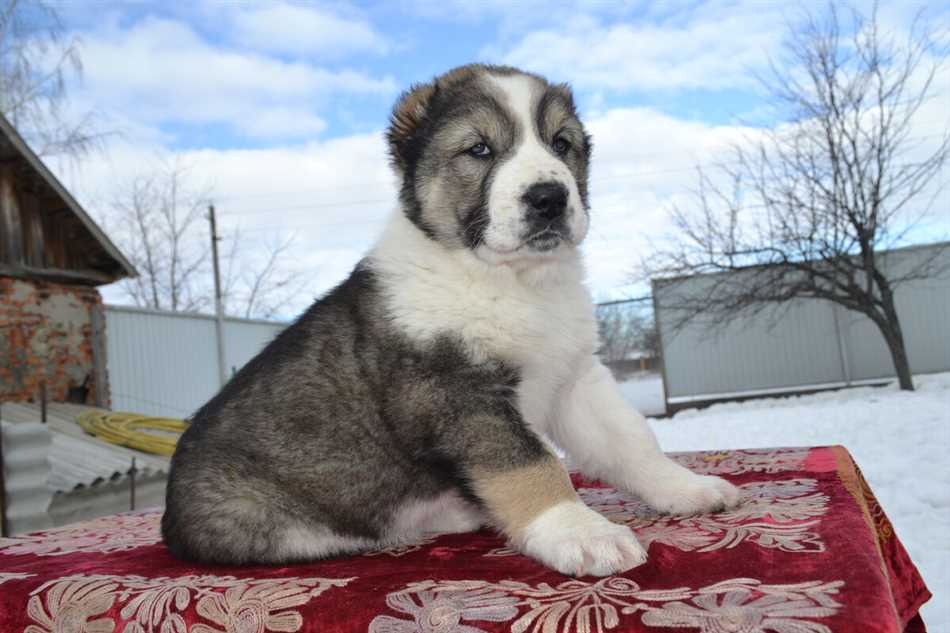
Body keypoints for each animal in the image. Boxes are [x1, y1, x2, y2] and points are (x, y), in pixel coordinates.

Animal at [165, 63, 744, 572]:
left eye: (561, 144)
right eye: (479, 149)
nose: (549, 197)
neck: (511, 280)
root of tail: (170, 518)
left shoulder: (574, 377)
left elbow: (629, 439)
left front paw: (685, 488)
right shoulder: (457, 392)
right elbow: (533, 464)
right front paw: (583, 534)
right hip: (260, 518)